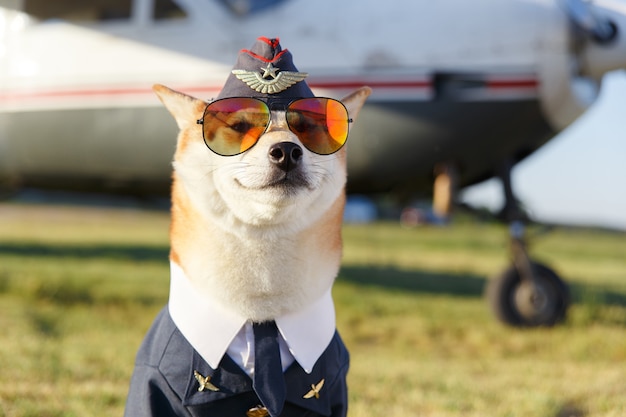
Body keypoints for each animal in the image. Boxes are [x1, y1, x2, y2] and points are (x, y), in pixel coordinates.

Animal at [125, 36, 370, 416]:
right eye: (240, 127)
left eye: (308, 128)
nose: (287, 151)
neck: (261, 313)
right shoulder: (157, 382)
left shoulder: (332, 385)